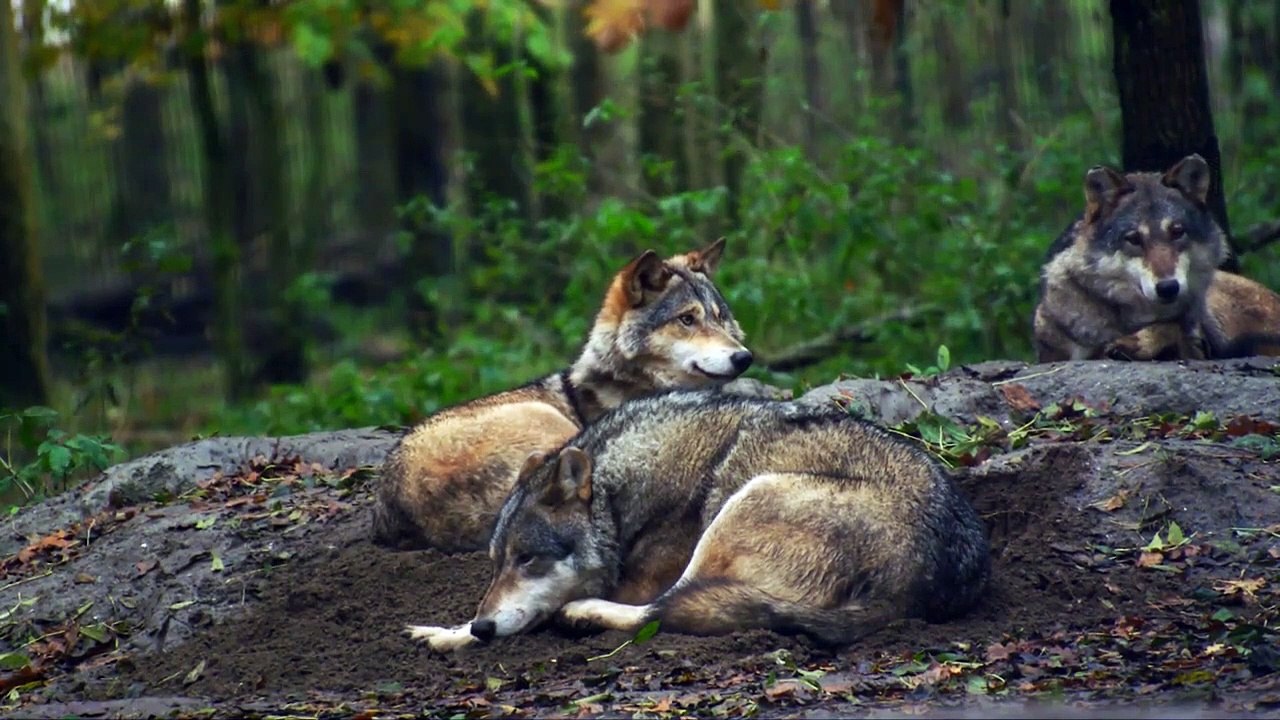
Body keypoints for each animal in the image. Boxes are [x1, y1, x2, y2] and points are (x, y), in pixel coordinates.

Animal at [405, 391, 992, 651]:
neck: (623, 499)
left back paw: (582, 615)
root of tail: (910, 591)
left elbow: (553, 610)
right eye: (497, 563)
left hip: (745, 501)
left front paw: (455, 634)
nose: (483, 625)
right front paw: (454, 629)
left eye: (528, 559)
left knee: (658, 612)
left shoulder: (642, 576)